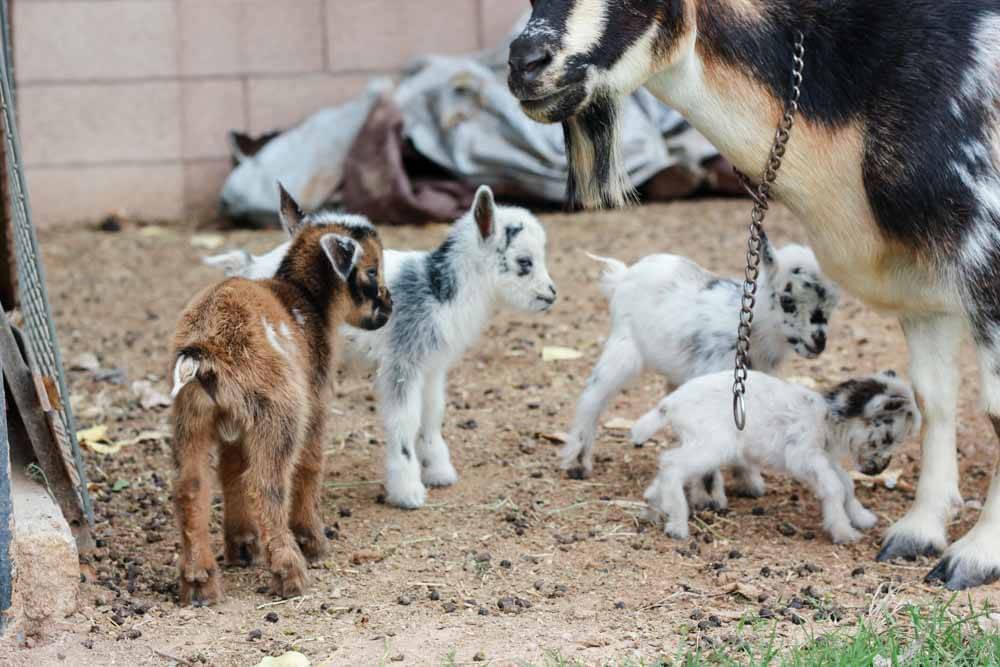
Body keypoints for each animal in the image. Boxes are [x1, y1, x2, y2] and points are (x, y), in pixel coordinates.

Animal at [170, 184, 392, 604]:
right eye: (372, 270)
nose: (389, 306)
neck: (304, 299)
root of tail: (205, 353)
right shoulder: (315, 399)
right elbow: (310, 464)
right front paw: (313, 541)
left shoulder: (233, 424)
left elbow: (230, 470)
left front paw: (242, 546)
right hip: (279, 411)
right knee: (267, 484)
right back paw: (290, 572)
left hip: (192, 416)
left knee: (191, 488)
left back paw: (200, 582)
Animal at [207, 188, 560, 512]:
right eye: (524, 262)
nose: (551, 294)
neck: (439, 290)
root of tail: (250, 268)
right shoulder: (402, 362)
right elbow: (405, 420)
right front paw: (408, 491)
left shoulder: (431, 366)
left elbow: (432, 413)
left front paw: (439, 472)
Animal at [564, 235, 836, 496]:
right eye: (787, 301)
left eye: (832, 307)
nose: (819, 341)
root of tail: (623, 275)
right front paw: (710, 494)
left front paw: (747, 483)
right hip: (623, 346)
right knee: (593, 396)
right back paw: (577, 463)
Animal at [636, 370, 916, 548]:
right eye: (888, 438)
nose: (880, 469)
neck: (825, 417)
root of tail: (669, 404)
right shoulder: (804, 455)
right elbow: (835, 487)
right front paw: (843, 531)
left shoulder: (823, 456)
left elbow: (846, 484)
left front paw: (861, 517)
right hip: (714, 444)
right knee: (672, 464)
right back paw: (677, 524)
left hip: (699, 440)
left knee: (667, 463)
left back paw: (653, 504)